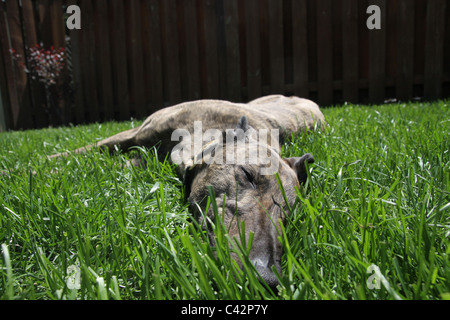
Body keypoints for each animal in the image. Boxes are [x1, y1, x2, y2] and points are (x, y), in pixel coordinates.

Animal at [50, 94, 324, 288]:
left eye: (288, 214)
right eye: (247, 175)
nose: (267, 278)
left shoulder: (141, 160)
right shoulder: (134, 134)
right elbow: (84, 150)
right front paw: (46, 163)